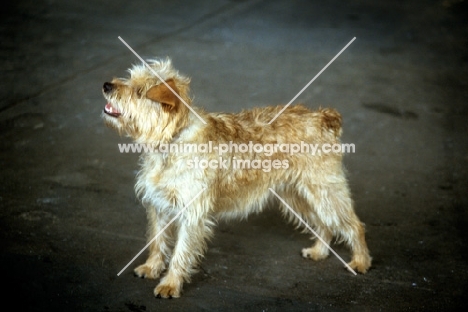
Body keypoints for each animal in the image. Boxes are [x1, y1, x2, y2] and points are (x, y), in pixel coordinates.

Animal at [100, 57, 372, 298]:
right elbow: (157, 241)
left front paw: (170, 284)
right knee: (325, 224)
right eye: (129, 78)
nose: (107, 85)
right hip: (298, 196)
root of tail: (322, 117)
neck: (171, 141)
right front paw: (152, 267)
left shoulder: (192, 214)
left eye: (139, 91)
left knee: (353, 224)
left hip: (323, 192)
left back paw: (360, 261)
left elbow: (180, 251)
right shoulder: (159, 207)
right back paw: (319, 251)